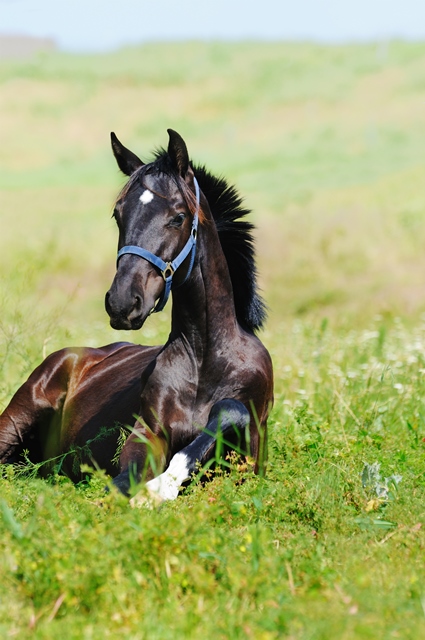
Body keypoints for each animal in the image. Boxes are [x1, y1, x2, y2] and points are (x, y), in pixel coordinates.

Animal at [0, 129, 274, 500]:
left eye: (178, 216)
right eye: (119, 215)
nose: (122, 303)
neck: (204, 359)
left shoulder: (249, 454)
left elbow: (231, 411)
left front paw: (161, 487)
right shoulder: (147, 433)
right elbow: (127, 476)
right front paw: (149, 489)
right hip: (18, 416)